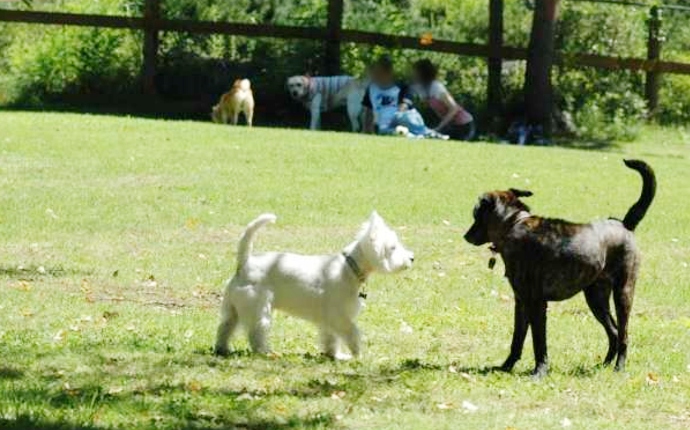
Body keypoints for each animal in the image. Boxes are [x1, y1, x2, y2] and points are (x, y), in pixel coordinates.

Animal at [212, 212, 412, 360]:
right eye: (393, 248)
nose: (412, 258)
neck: (350, 268)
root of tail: (244, 263)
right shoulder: (340, 316)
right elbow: (352, 333)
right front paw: (357, 354)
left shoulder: (329, 320)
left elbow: (331, 338)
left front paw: (335, 355)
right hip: (259, 310)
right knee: (256, 333)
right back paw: (266, 352)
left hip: (232, 310)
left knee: (225, 328)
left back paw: (222, 350)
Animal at [464, 159, 652, 376]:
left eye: (476, 213)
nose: (466, 235)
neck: (514, 224)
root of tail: (624, 224)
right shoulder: (521, 302)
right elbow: (517, 339)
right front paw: (506, 366)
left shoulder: (536, 304)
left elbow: (539, 342)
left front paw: (540, 371)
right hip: (596, 299)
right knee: (613, 331)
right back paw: (603, 365)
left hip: (623, 293)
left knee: (623, 335)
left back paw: (619, 367)